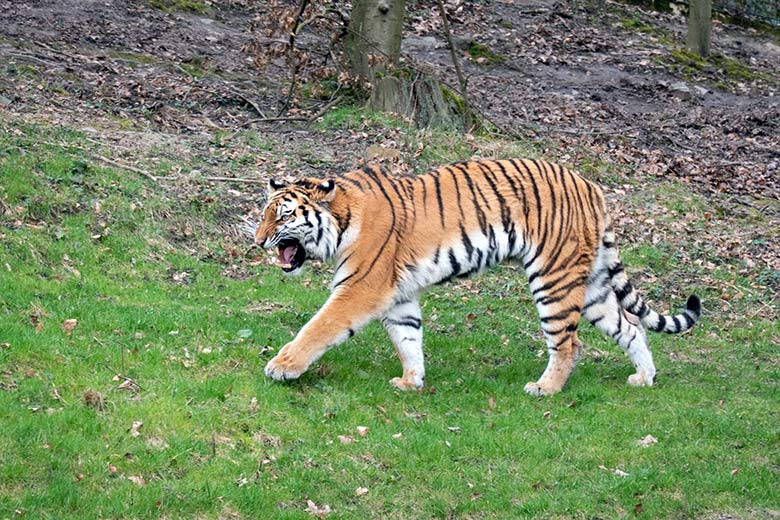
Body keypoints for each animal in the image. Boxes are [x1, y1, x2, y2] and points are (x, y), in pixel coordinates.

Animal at [254, 158, 700, 394]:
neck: (343, 219)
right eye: (264, 213)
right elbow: (408, 339)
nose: (258, 241)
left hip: (553, 279)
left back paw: (545, 389)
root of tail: (590, 185)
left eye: (285, 215)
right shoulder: (399, 296)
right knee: (630, 326)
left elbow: (318, 327)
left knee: (570, 344)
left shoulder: (360, 289)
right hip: (590, 284)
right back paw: (644, 376)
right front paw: (411, 382)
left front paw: (282, 366)